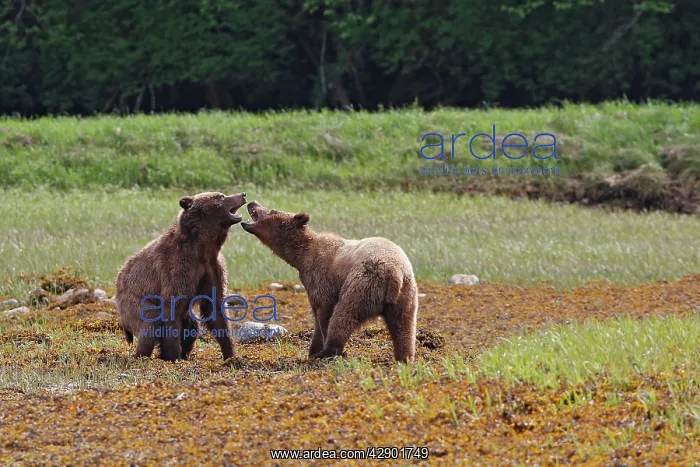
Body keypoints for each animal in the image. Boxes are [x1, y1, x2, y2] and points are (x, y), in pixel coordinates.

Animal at [116, 191, 247, 361]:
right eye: (221, 196)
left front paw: (230, 354)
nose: (243, 194)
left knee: (192, 327)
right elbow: (172, 309)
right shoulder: (177, 268)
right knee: (149, 327)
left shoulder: (212, 269)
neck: (202, 249)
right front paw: (172, 356)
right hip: (134, 301)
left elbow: (216, 309)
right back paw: (143, 355)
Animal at [240, 201, 418, 362]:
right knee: (404, 327)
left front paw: (317, 350)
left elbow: (324, 311)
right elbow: (316, 318)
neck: (301, 256)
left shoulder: (320, 277)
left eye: (272, 210)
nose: (252, 202)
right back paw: (404, 357)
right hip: (406, 296)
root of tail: (394, 273)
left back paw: (329, 351)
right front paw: (313, 349)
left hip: (363, 283)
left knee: (344, 314)